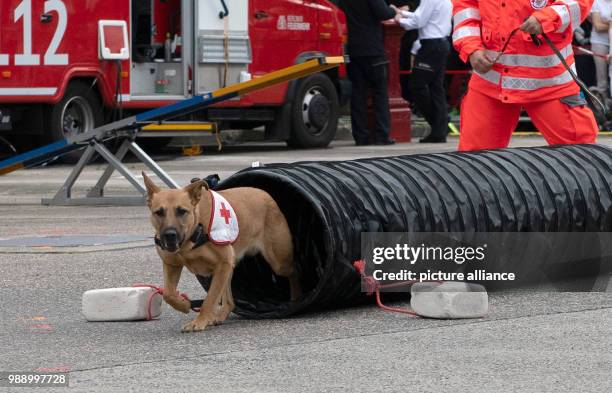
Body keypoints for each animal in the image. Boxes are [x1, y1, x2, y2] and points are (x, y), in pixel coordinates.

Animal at [141, 172, 298, 330]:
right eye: (159, 212)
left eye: (182, 211)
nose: (169, 235)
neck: (195, 230)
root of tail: (266, 194)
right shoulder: (172, 264)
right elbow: (168, 294)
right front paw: (184, 305)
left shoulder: (222, 264)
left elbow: (209, 299)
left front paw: (200, 321)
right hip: (230, 268)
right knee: (229, 301)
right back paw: (219, 316)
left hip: (279, 262)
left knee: (294, 272)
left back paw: (295, 300)